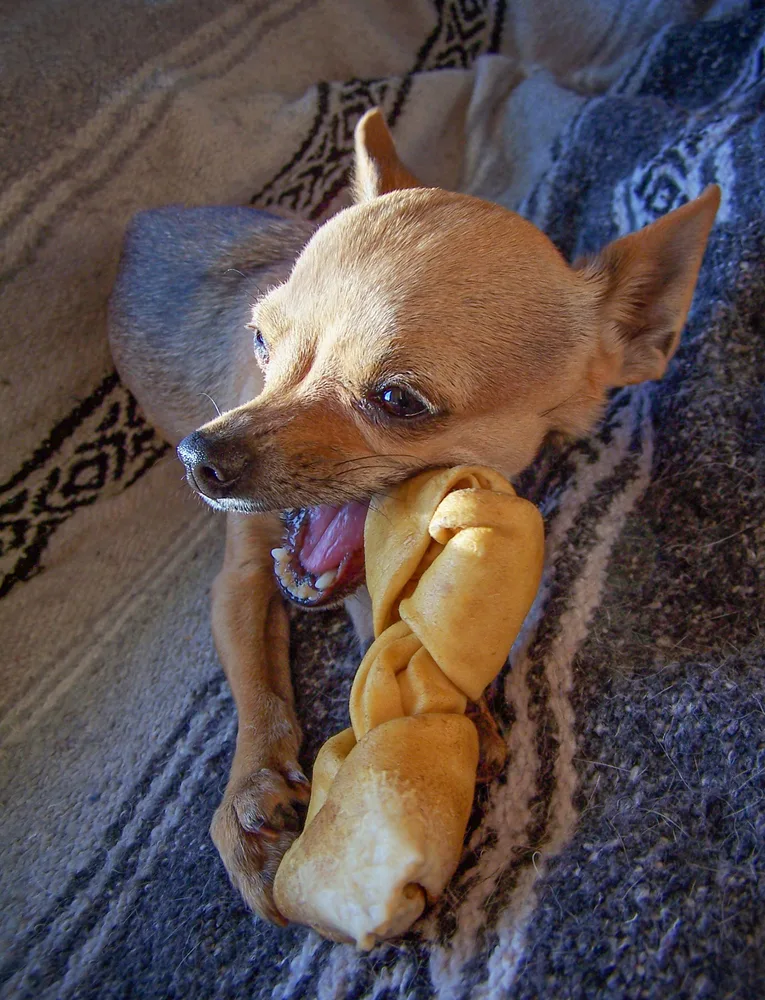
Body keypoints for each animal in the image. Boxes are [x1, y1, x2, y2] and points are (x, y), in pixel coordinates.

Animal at [110, 109, 720, 920]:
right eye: (261, 342)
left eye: (398, 400)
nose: (197, 456)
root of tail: (139, 224)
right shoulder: (240, 579)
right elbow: (257, 682)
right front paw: (251, 789)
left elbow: (379, 615)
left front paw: (459, 708)